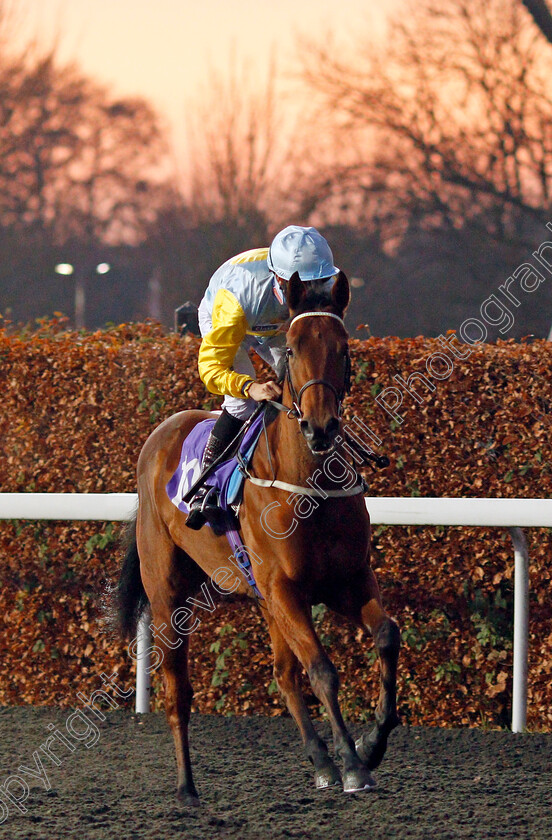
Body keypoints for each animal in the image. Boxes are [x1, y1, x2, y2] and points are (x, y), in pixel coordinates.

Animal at [117, 272, 402, 804]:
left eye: (344, 348)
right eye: (291, 348)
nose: (320, 425)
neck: (311, 487)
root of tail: (163, 431)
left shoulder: (346, 581)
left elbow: (386, 636)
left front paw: (371, 744)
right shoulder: (285, 589)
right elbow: (322, 670)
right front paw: (354, 765)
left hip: (263, 598)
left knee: (284, 673)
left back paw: (320, 762)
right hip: (169, 598)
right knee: (177, 690)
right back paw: (186, 787)